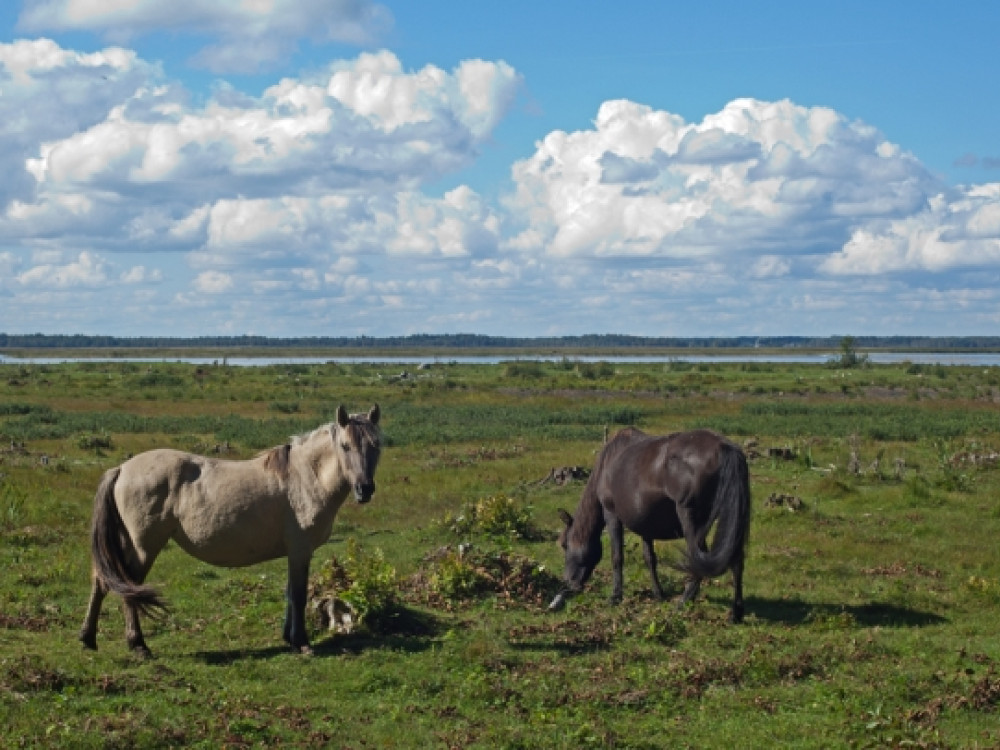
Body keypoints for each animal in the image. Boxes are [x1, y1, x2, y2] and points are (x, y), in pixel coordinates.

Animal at [78, 406, 380, 656]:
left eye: (376, 445)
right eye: (345, 446)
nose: (364, 489)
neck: (305, 477)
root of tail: (121, 469)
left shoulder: (293, 553)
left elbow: (289, 594)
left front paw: (289, 639)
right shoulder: (300, 550)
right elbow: (298, 595)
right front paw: (302, 643)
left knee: (103, 581)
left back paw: (88, 638)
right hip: (142, 547)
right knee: (128, 586)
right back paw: (138, 645)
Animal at [548, 428, 752, 624]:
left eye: (565, 545)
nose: (569, 583)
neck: (608, 462)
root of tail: (725, 448)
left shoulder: (611, 514)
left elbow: (617, 557)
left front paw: (615, 596)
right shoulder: (645, 525)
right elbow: (650, 559)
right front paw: (658, 594)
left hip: (691, 520)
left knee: (699, 560)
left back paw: (684, 601)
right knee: (736, 562)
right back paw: (736, 613)